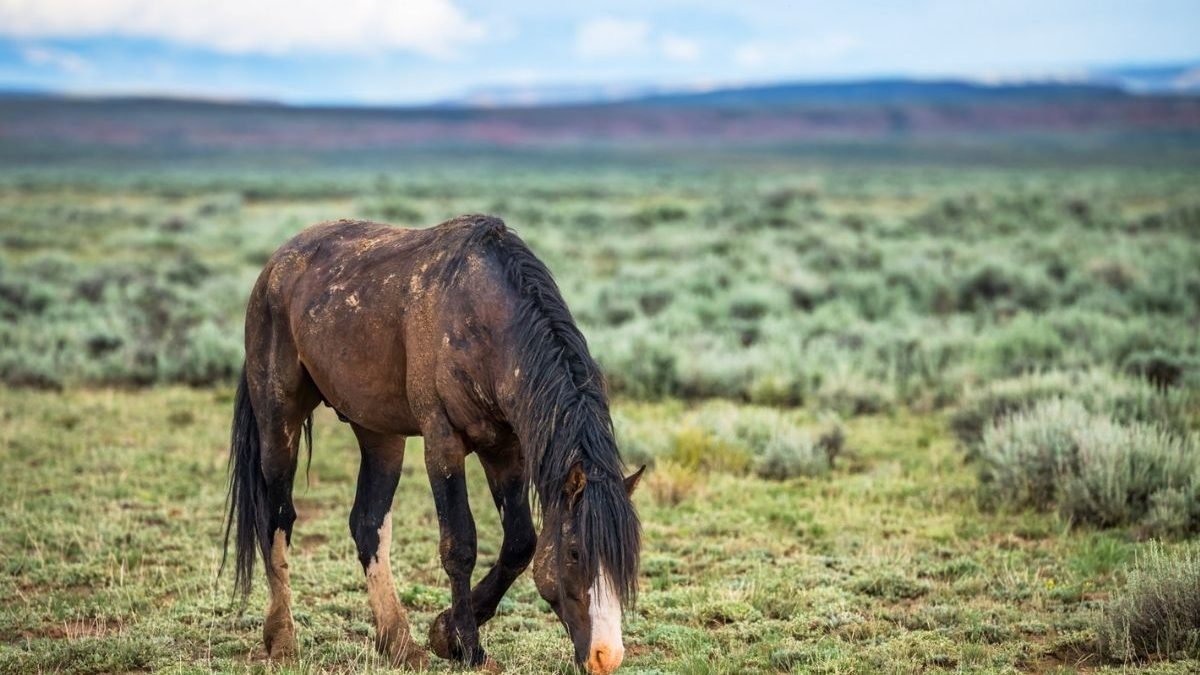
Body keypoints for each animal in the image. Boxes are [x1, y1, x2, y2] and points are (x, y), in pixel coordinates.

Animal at [222, 215, 644, 674]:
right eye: (574, 554)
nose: (606, 656)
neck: (483, 320)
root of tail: (276, 265)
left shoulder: (505, 450)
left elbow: (520, 543)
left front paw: (445, 635)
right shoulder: (443, 443)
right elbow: (459, 544)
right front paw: (470, 649)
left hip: (379, 434)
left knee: (368, 525)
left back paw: (400, 644)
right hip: (278, 421)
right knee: (277, 517)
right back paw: (283, 640)